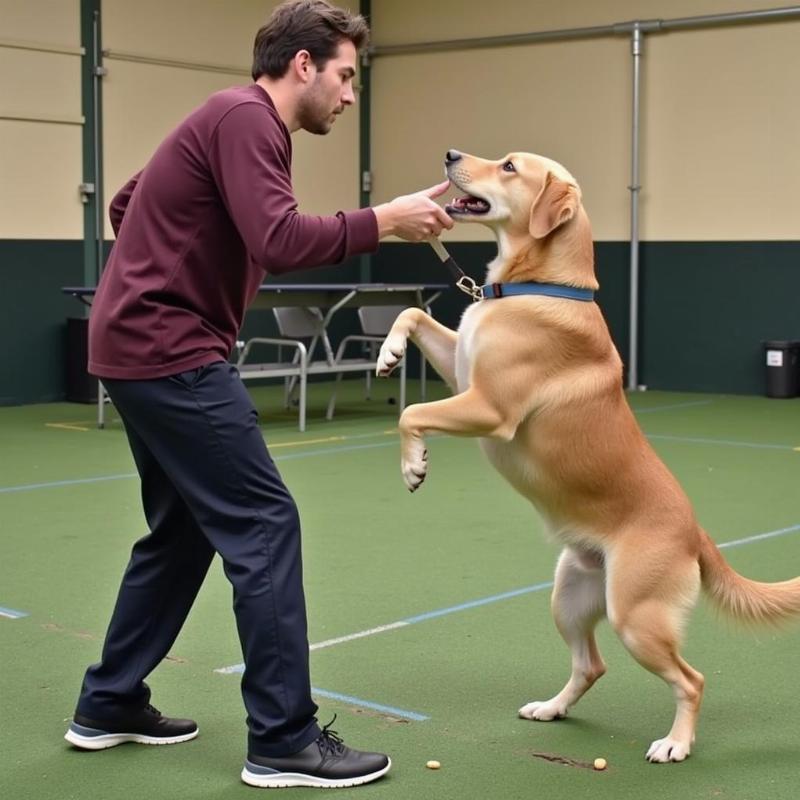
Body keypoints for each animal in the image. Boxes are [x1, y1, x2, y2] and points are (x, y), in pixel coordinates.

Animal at [378, 148, 800, 764]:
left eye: (508, 166)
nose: (451, 155)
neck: (540, 285)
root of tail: (695, 534)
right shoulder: (461, 370)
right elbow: (410, 316)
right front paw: (387, 353)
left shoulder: (489, 406)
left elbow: (411, 412)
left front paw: (414, 465)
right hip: (570, 598)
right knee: (592, 665)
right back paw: (551, 708)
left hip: (637, 619)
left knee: (691, 680)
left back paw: (676, 743)